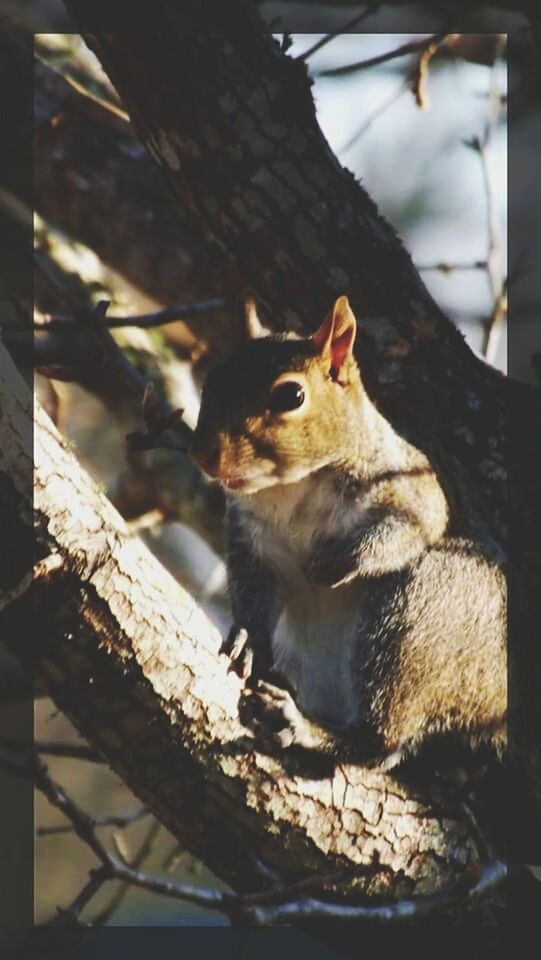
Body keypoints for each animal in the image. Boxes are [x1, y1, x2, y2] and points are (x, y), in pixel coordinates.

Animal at [190, 296, 506, 768]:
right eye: (213, 378)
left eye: (291, 395)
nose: (204, 455)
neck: (291, 488)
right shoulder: (249, 543)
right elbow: (250, 592)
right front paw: (248, 641)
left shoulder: (407, 486)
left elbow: (412, 525)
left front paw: (334, 564)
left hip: (426, 613)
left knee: (380, 744)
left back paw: (306, 728)